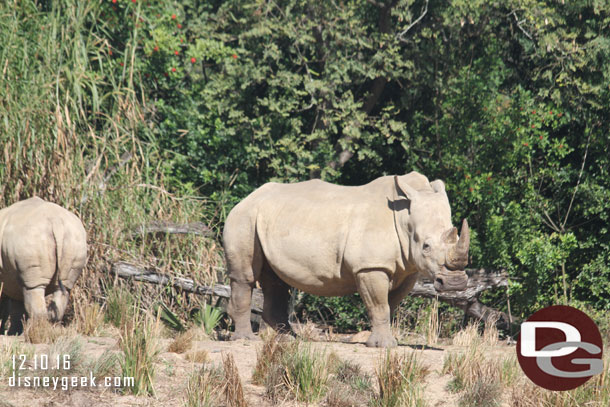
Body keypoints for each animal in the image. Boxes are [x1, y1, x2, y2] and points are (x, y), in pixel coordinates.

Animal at [0, 198, 88, 334]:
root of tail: (57, 222)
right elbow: (16, 307)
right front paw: (13, 333)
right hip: (75, 239)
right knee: (63, 288)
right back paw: (51, 329)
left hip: (30, 240)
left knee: (34, 288)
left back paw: (37, 332)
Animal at [221, 171, 468, 348]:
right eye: (426, 246)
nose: (455, 283)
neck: (404, 217)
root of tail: (246, 198)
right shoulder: (370, 266)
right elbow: (379, 305)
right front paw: (384, 346)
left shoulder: (408, 268)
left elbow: (390, 304)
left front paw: (383, 341)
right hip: (244, 218)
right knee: (245, 277)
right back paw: (247, 340)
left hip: (267, 218)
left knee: (276, 282)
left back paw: (287, 339)